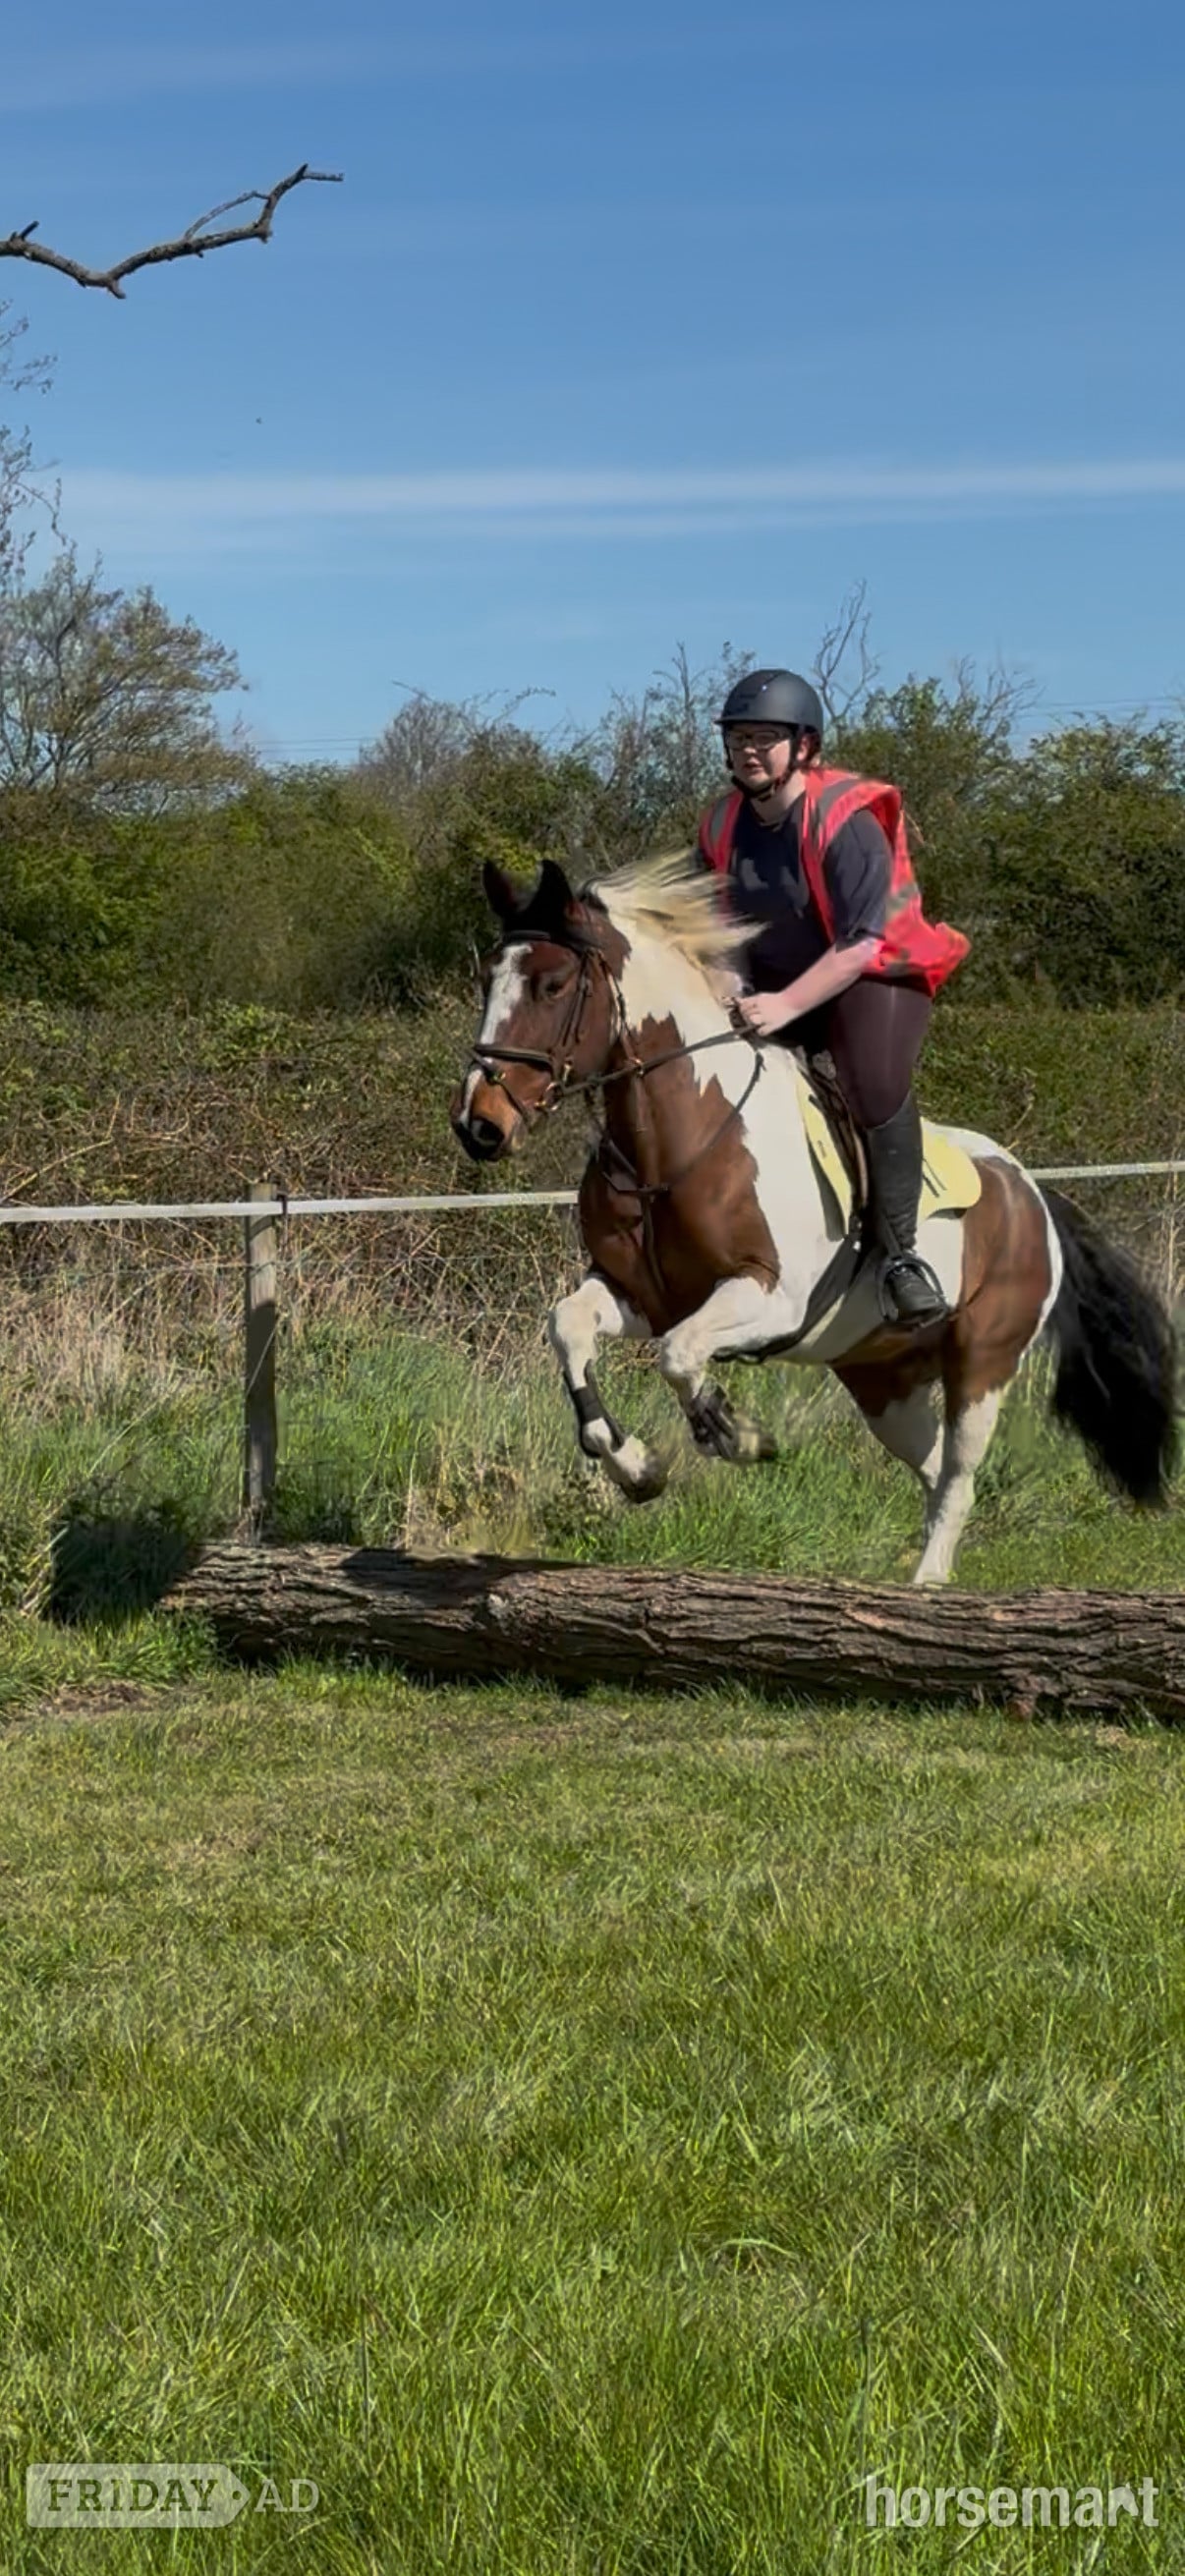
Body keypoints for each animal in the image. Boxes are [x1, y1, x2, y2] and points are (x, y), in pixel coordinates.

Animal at [450, 852, 1177, 1585]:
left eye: (552, 985)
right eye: (487, 980)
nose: (479, 1125)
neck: (676, 1142)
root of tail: (1032, 1193)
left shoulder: (771, 1298)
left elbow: (679, 1352)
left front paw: (736, 1433)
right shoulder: (640, 1295)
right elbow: (570, 1328)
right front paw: (637, 1468)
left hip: (983, 1361)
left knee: (960, 1476)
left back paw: (925, 1586)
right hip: (884, 1379)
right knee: (934, 1469)